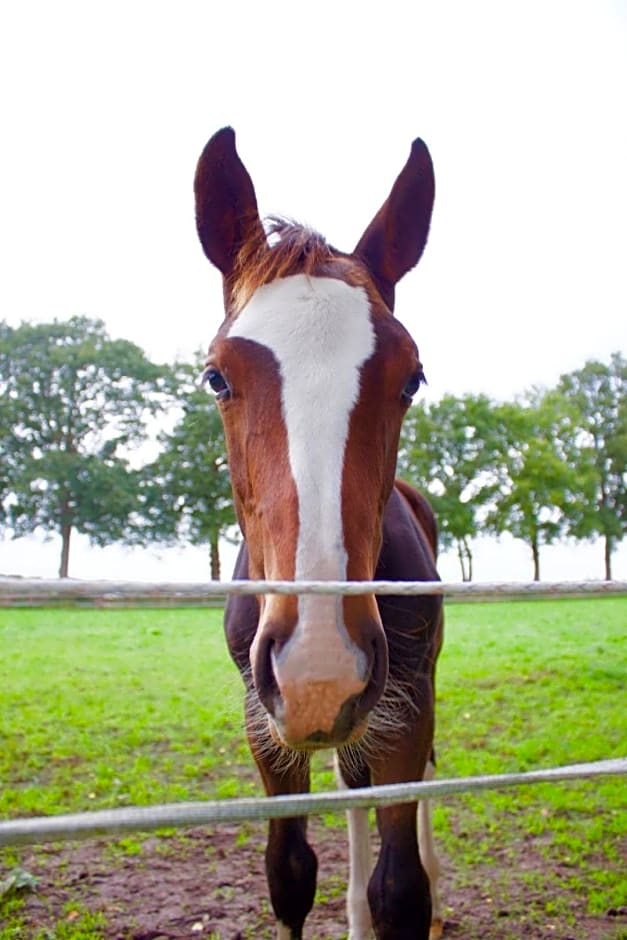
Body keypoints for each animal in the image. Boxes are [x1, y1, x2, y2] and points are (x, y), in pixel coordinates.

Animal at [194, 129, 444, 940]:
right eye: (216, 377)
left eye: (411, 378)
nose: (319, 666)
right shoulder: (265, 724)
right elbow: (289, 875)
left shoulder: (402, 706)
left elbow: (401, 889)